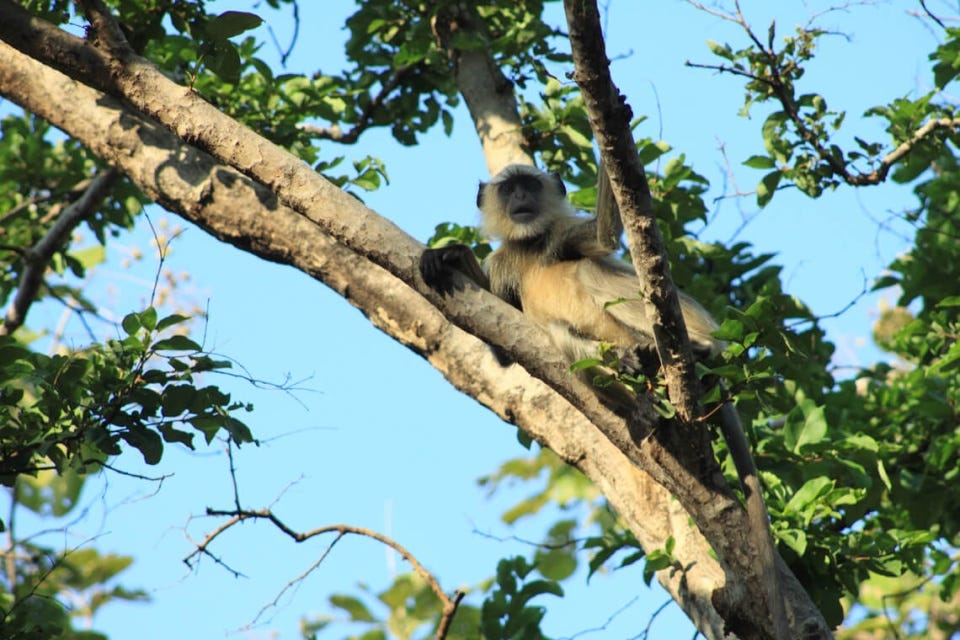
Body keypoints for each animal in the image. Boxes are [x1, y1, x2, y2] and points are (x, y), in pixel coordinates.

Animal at [418, 162, 788, 636]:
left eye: (530, 185)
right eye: (510, 189)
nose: (521, 198)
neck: (531, 245)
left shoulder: (561, 233)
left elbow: (606, 239)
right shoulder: (502, 265)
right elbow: (503, 352)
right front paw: (450, 255)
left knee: (592, 271)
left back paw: (697, 352)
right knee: (562, 337)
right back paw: (638, 390)